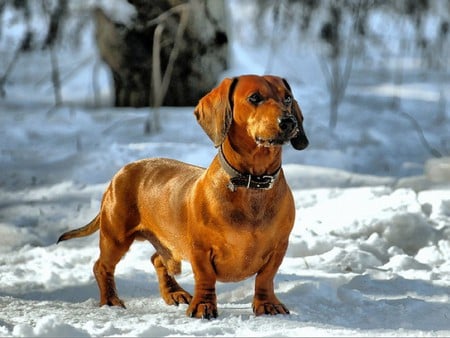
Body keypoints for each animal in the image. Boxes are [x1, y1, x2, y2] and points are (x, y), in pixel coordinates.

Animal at [57, 74, 310, 320]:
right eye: (255, 97)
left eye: (287, 98)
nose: (289, 122)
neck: (252, 184)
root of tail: (123, 171)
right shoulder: (200, 249)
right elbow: (205, 277)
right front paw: (204, 306)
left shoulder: (279, 247)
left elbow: (265, 277)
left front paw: (267, 304)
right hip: (115, 236)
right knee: (102, 266)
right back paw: (111, 301)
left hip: (166, 244)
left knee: (157, 259)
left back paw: (174, 293)